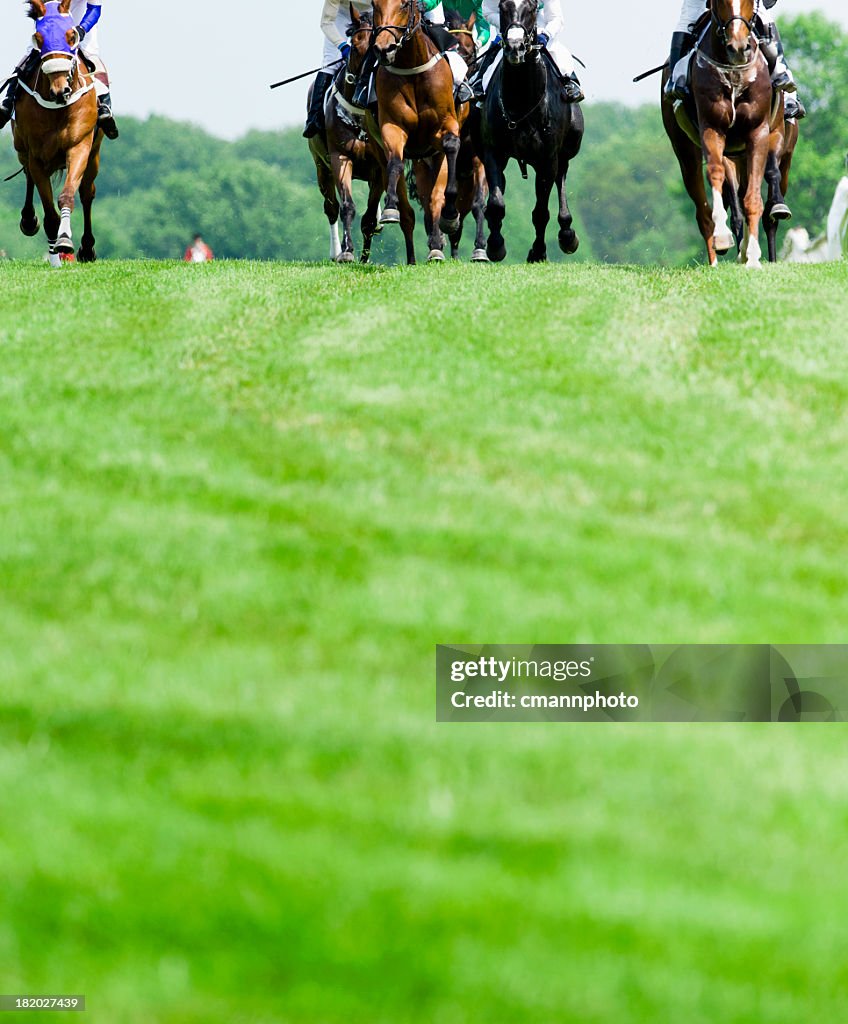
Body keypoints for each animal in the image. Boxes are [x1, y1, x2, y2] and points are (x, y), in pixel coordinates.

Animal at [13, 2, 102, 264]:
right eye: (39, 38)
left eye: (71, 35)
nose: (60, 90)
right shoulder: (36, 154)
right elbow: (49, 214)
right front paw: (55, 250)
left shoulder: (79, 145)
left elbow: (68, 195)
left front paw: (65, 241)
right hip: (21, 147)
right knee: (28, 176)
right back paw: (29, 220)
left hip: (94, 155)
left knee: (87, 193)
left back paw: (87, 248)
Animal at [370, 0, 467, 260]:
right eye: (374, 5)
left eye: (404, 5)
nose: (384, 48)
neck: (411, 67)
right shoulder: (392, 126)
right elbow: (395, 161)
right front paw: (390, 207)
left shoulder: (445, 126)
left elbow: (452, 145)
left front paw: (451, 217)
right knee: (410, 212)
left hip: (431, 155)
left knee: (434, 198)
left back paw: (437, 242)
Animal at [473, 1, 585, 264]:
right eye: (503, 7)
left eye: (532, 7)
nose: (515, 46)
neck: (521, 101)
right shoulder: (493, 152)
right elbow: (496, 203)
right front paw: (496, 246)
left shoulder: (547, 158)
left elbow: (541, 211)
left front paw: (538, 251)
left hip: (563, 154)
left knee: (560, 178)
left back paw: (567, 234)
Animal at [663, 0, 774, 268]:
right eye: (721, 2)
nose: (738, 47)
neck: (734, 73)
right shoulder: (711, 127)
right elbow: (715, 171)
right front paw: (723, 236)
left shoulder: (758, 132)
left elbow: (752, 196)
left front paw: (753, 256)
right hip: (685, 150)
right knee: (702, 209)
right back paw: (714, 259)